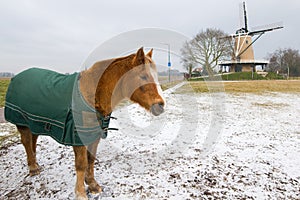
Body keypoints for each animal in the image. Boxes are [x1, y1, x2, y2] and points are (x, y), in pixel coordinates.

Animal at [3, 47, 165, 200]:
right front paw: (80, 193)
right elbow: (81, 164)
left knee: (33, 141)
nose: (161, 106)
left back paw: (35, 164)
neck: (92, 95)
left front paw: (92, 185)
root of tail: (16, 77)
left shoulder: (95, 135)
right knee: (26, 142)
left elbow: (91, 159)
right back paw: (33, 168)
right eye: (143, 76)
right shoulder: (77, 137)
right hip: (22, 123)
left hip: (34, 123)